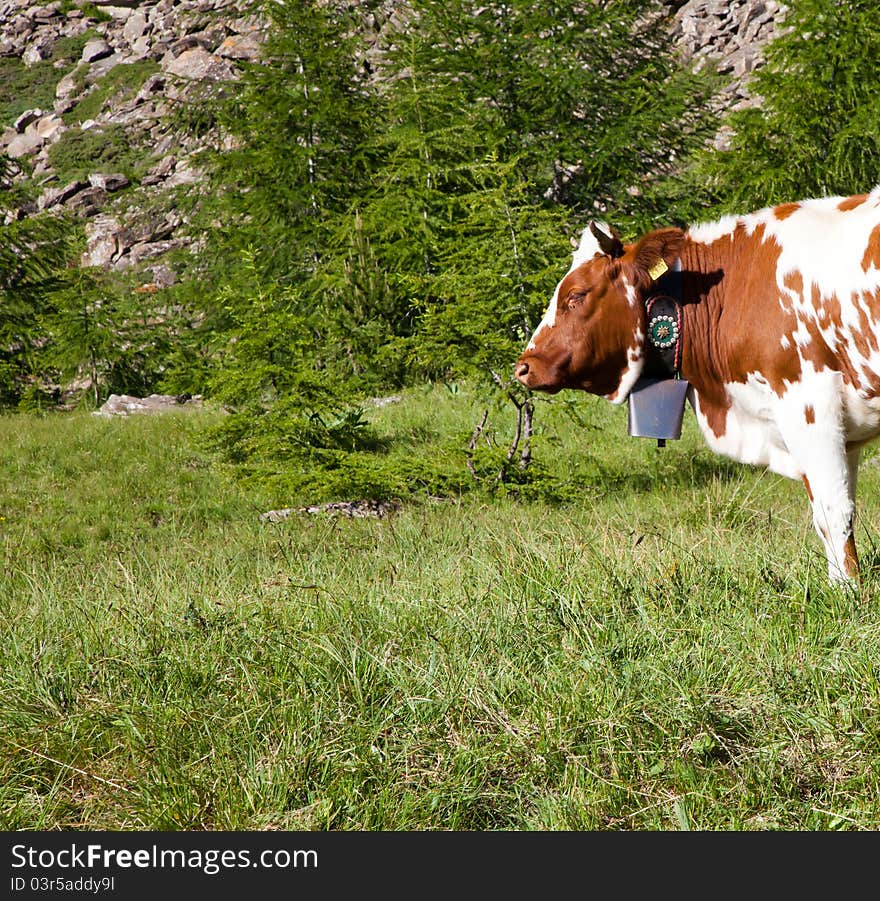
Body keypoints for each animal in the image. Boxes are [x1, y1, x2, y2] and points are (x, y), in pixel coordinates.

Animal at [516, 188, 880, 584]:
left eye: (577, 295)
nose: (525, 366)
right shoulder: (846, 432)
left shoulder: (808, 403)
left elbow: (832, 510)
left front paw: (845, 590)